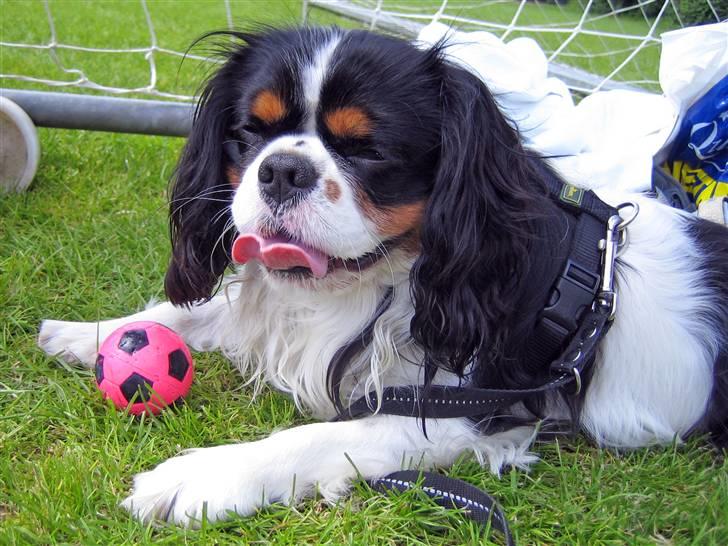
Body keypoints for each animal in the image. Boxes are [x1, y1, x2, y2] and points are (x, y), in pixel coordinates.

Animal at [38, 27, 728, 524]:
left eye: (368, 150)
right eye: (251, 133)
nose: (282, 169)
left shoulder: (464, 413)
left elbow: (307, 440)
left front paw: (202, 477)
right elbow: (194, 313)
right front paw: (89, 334)